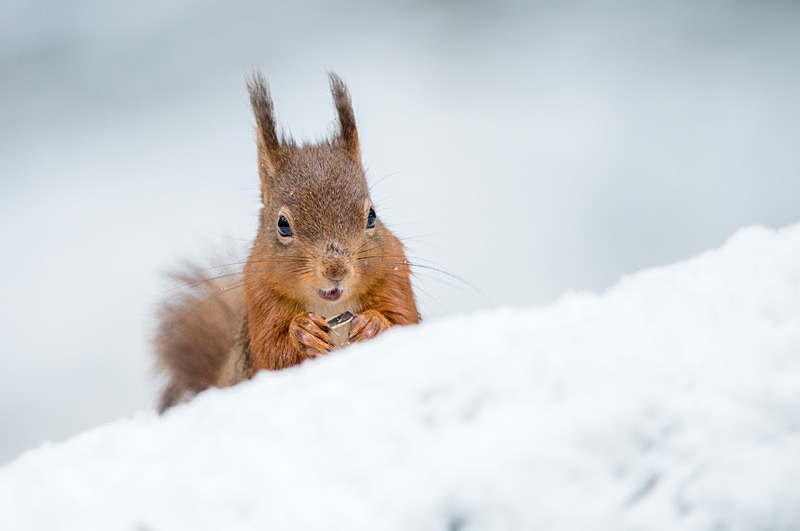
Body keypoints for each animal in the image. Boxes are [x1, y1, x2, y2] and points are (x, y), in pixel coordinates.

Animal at [152, 71, 422, 412]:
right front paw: (303, 333)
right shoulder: (260, 299)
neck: (330, 305)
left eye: (372, 216)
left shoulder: (394, 277)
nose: (336, 270)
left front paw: (372, 324)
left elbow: (404, 322)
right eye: (283, 225)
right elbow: (273, 354)